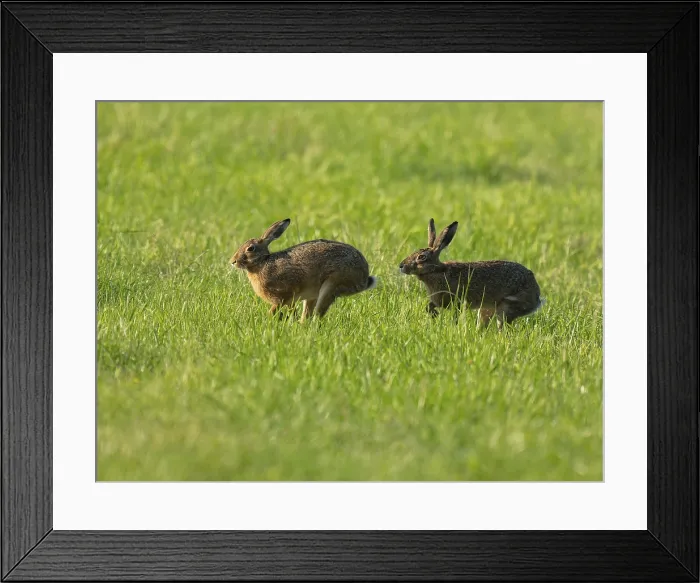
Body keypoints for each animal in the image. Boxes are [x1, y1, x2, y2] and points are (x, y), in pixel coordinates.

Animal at [230, 218, 377, 321]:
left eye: (250, 248)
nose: (232, 262)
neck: (262, 262)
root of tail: (363, 279)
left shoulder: (284, 295)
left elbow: (273, 310)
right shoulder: (291, 300)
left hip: (332, 284)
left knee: (317, 315)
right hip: (313, 295)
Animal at [398, 218, 545, 329]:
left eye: (421, 257)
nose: (401, 266)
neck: (436, 271)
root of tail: (536, 297)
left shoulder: (456, 302)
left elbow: (454, 316)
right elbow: (430, 306)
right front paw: (433, 314)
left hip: (507, 307)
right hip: (486, 310)